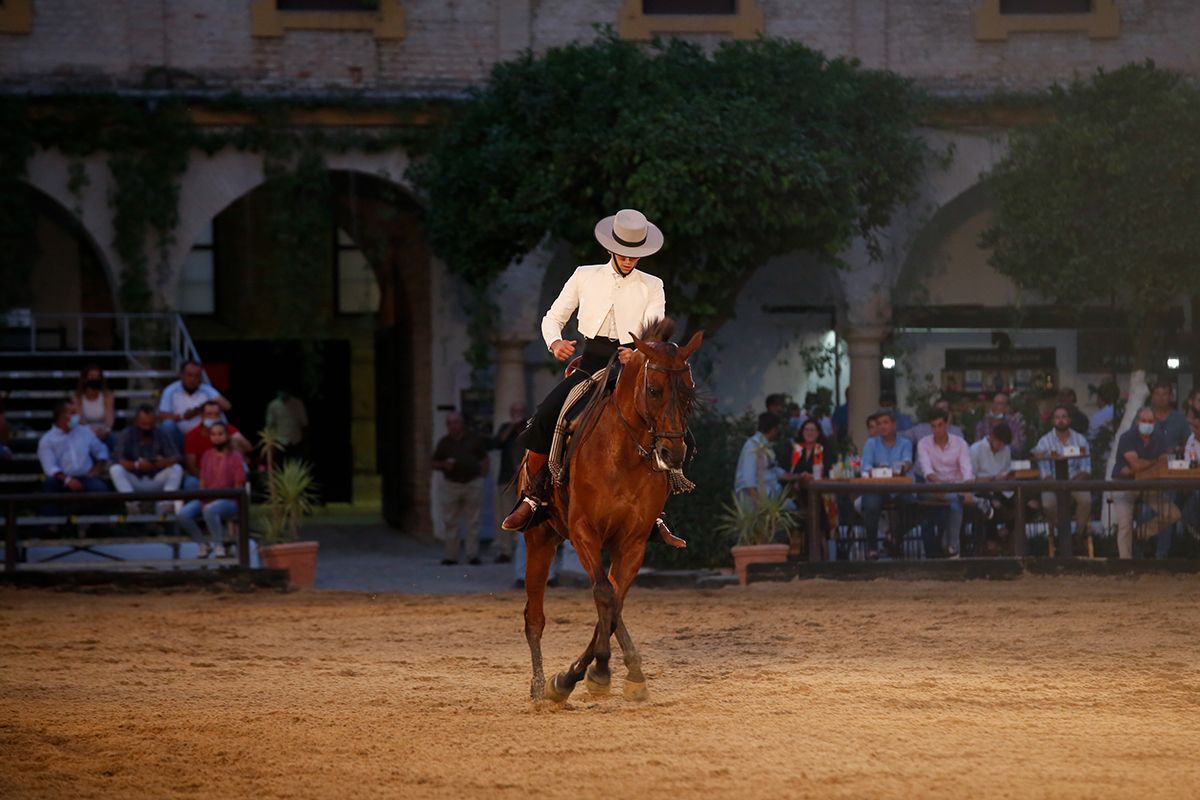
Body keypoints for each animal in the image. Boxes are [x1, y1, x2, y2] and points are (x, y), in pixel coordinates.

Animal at [518, 316, 700, 705]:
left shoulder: (632, 541)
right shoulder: (584, 531)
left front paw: (614, 673)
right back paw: (539, 686)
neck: (622, 452)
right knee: (534, 617)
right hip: (540, 537)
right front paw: (594, 673)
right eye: (654, 390)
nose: (673, 454)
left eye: (689, 391)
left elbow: (614, 602)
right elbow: (604, 593)